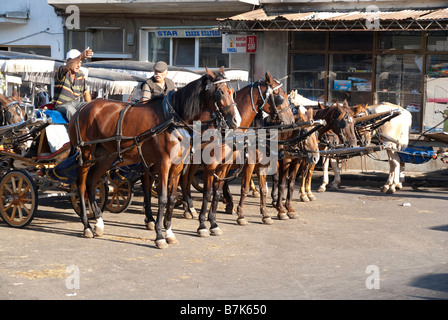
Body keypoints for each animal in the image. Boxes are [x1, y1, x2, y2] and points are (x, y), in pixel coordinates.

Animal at [68, 67, 240, 249]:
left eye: (232, 91)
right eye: (221, 92)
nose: (236, 120)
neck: (172, 118)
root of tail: (83, 108)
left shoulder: (178, 165)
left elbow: (171, 198)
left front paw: (169, 232)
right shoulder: (164, 163)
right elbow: (163, 198)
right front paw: (159, 235)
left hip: (106, 156)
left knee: (92, 182)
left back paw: (99, 223)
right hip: (86, 154)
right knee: (81, 185)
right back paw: (87, 226)